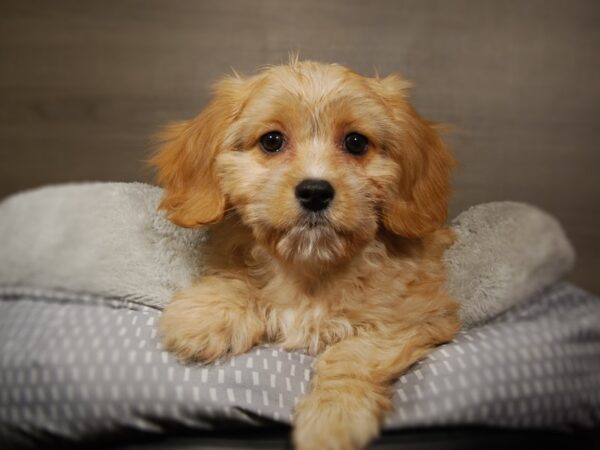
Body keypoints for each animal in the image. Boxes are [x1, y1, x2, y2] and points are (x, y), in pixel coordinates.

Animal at [151, 59, 460, 450]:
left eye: (356, 142)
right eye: (271, 141)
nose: (315, 191)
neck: (310, 264)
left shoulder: (417, 316)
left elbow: (353, 355)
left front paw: (335, 416)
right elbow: (236, 279)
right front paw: (203, 318)